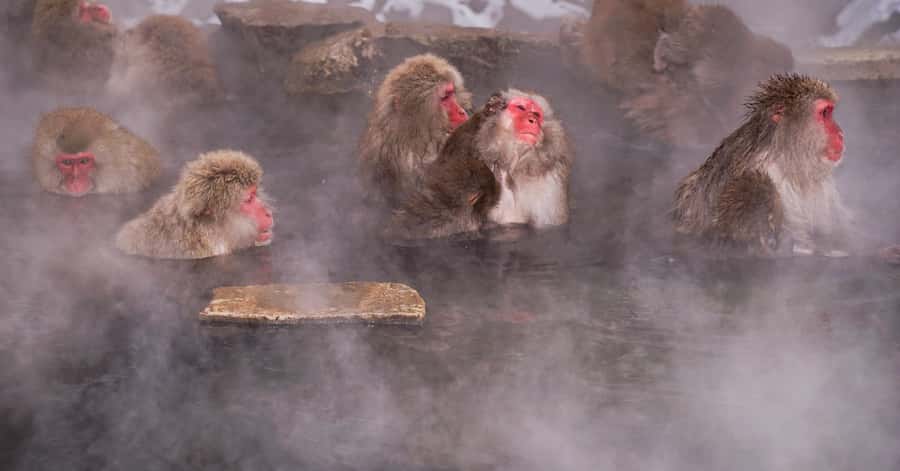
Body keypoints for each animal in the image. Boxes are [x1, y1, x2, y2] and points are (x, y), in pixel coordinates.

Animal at [387, 89, 573, 240]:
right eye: (520, 108)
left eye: (536, 113)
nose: (532, 120)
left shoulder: (550, 181)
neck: (510, 162)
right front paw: (489, 110)